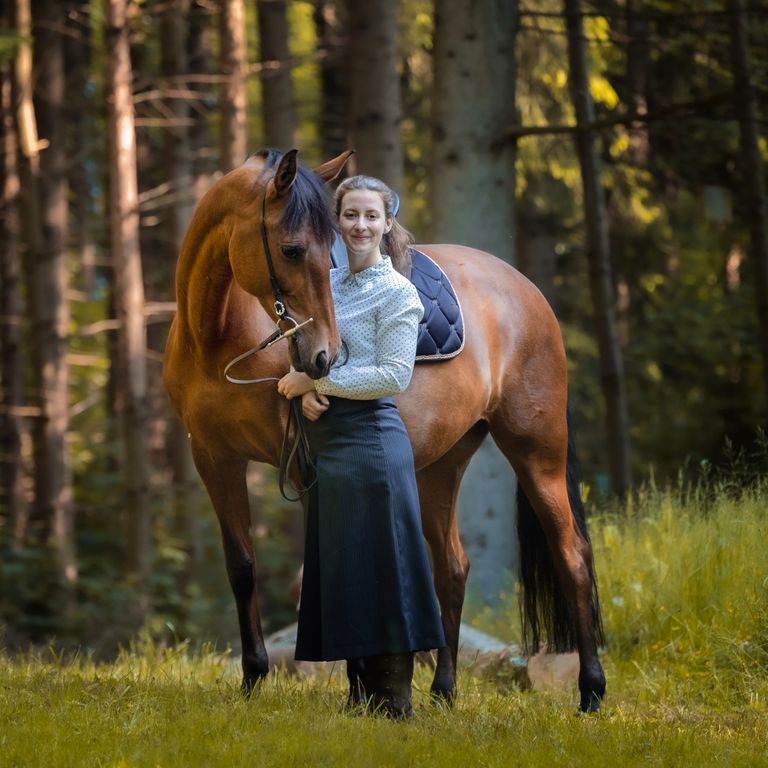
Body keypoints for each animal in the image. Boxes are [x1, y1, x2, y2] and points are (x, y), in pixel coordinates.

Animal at [162, 148, 608, 712]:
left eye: (323, 247)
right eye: (290, 249)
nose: (322, 357)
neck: (216, 336)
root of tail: (528, 292)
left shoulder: (305, 465)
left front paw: (357, 690)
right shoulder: (215, 460)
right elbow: (242, 568)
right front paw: (253, 681)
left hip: (537, 450)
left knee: (571, 556)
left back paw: (591, 690)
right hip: (442, 465)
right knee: (452, 569)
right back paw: (443, 691)